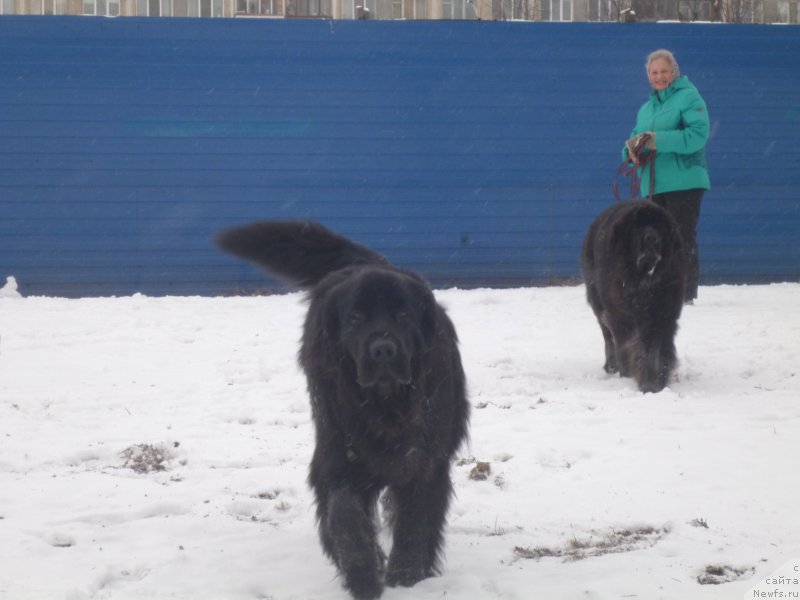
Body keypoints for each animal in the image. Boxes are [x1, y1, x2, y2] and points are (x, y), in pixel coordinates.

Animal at [216, 220, 472, 600]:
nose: (383, 349)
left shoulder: (424, 457)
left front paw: (405, 576)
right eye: (355, 318)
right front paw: (364, 576)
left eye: (404, 315)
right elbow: (345, 516)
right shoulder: (337, 454)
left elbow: (415, 520)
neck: (386, 403)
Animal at [580, 202, 688, 394]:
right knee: (608, 337)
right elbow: (627, 343)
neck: (643, 279)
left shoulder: (662, 312)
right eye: (637, 227)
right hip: (599, 304)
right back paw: (612, 366)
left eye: (658, 226)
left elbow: (654, 347)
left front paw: (654, 381)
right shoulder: (619, 314)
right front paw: (633, 375)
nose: (651, 238)